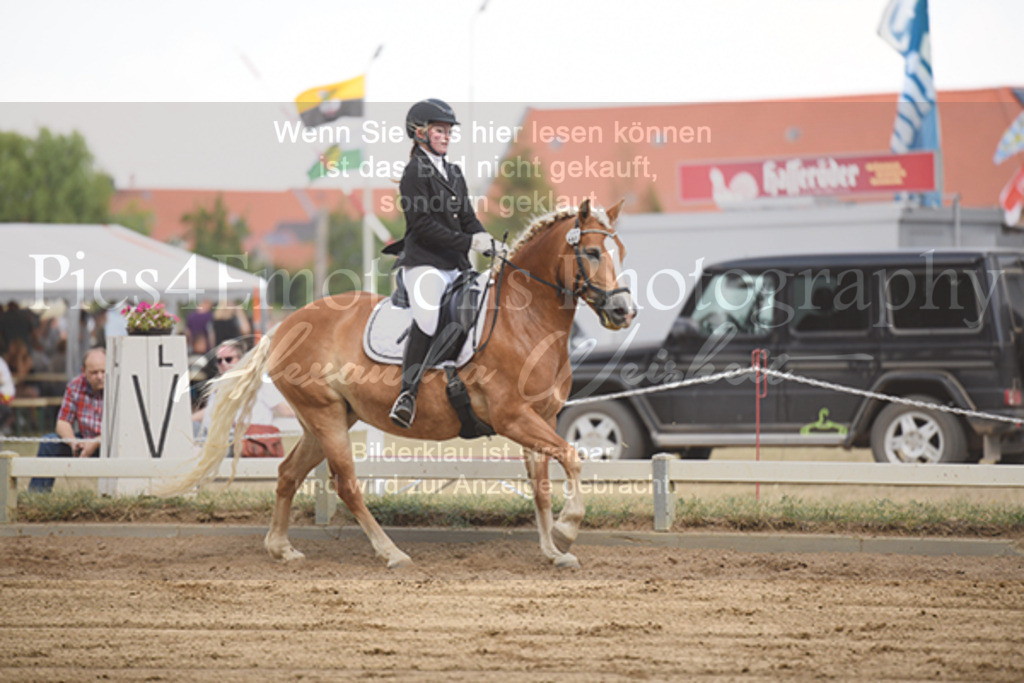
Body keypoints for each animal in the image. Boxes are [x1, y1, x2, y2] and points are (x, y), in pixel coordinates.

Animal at [167, 198, 630, 573]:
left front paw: (554, 551)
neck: (525, 320)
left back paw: (281, 548)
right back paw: (391, 553)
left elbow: (542, 486)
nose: (624, 311)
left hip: (327, 418)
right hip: (325, 415)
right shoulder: (512, 417)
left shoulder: (541, 418)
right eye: (592, 252)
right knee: (347, 484)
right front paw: (568, 529)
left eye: (620, 252)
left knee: (287, 473)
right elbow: (572, 456)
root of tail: (283, 327)